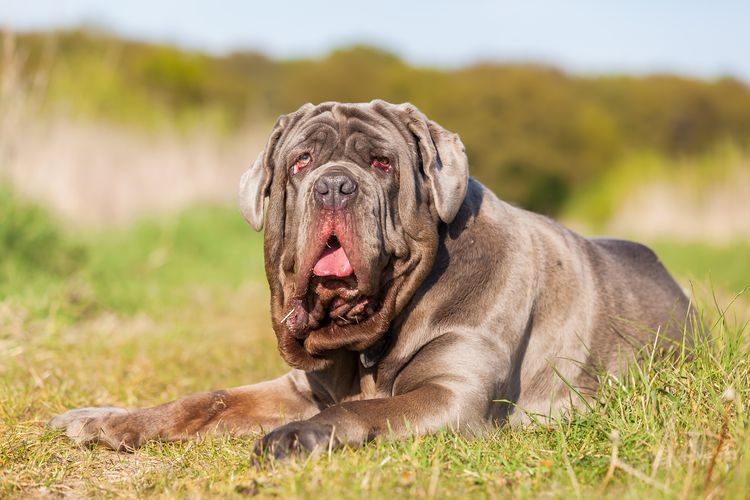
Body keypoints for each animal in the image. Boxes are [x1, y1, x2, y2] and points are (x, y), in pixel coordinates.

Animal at [48, 99, 700, 458]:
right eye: (301, 162)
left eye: (383, 163)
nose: (336, 185)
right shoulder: (299, 387)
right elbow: (206, 398)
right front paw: (106, 419)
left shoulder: (452, 395)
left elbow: (365, 412)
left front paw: (296, 437)